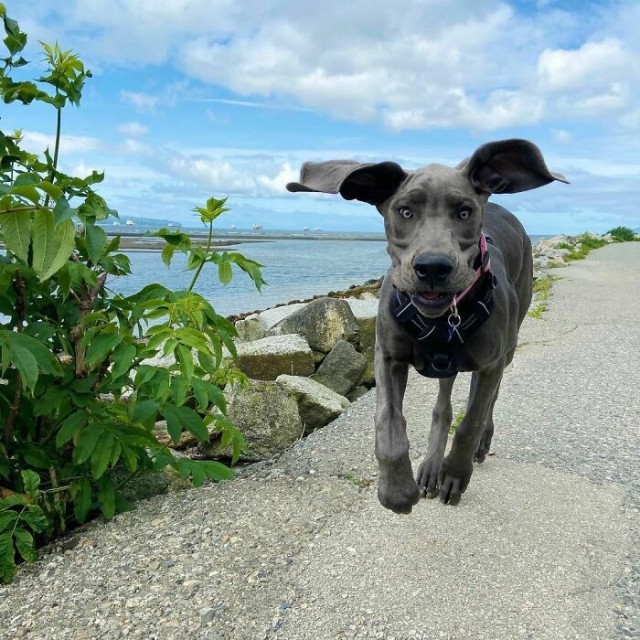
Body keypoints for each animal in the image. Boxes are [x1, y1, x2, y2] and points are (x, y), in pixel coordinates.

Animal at [288, 140, 568, 516]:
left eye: (464, 213)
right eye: (405, 211)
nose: (433, 267)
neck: (442, 319)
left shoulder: (491, 363)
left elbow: (471, 421)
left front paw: (455, 474)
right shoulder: (387, 356)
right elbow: (389, 425)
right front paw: (397, 490)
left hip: (507, 347)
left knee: (486, 403)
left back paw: (472, 449)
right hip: (446, 365)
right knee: (443, 407)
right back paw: (431, 467)